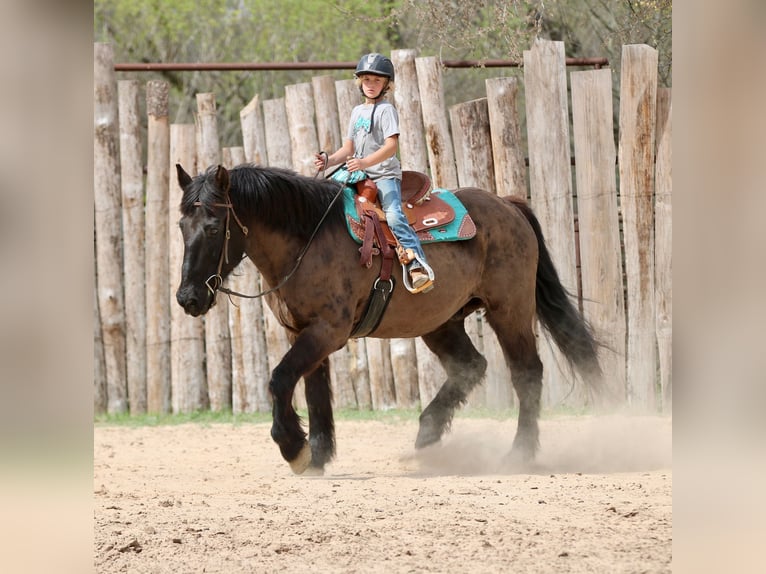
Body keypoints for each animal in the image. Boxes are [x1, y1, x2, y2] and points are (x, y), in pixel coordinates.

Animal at [175, 163, 604, 474]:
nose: (187, 297)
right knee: (470, 366)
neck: (307, 238)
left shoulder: (327, 331)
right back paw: (427, 436)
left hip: (509, 310)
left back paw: (520, 453)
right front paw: (318, 455)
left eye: (212, 227)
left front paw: (294, 448)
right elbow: (315, 392)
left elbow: (280, 379)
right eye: (182, 226)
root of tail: (508, 205)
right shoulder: (304, 332)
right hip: (442, 321)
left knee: (527, 373)